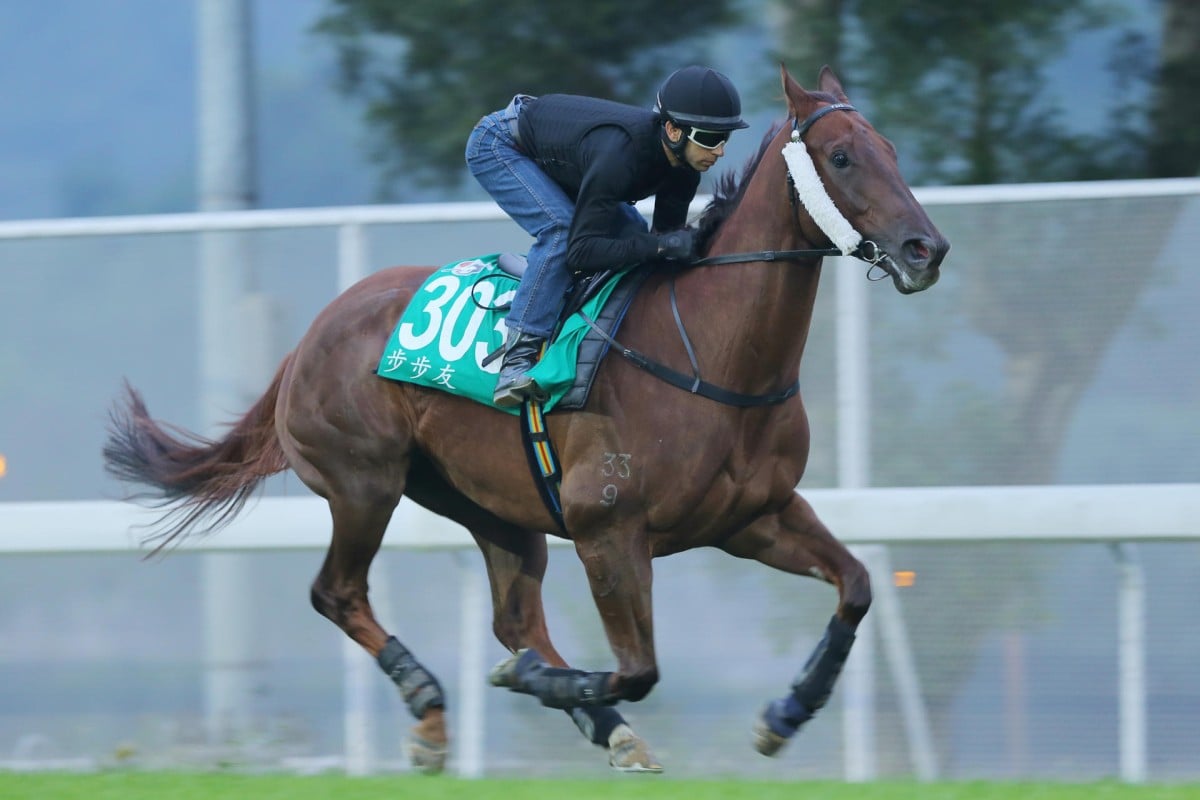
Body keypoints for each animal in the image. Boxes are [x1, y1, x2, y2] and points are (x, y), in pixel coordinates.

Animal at [103, 68, 945, 777]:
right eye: (842, 157)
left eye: (893, 150)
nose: (924, 249)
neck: (712, 353)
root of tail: (317, 328)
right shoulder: (608, 527)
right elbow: (639, 669)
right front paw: (550, 686)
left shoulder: (753, 517)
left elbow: (857, 585)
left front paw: (786, 713)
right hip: (363, 483)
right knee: (337, 592)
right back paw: (432, 705)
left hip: (491, 506)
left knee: (514, 618)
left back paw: (575, 715)